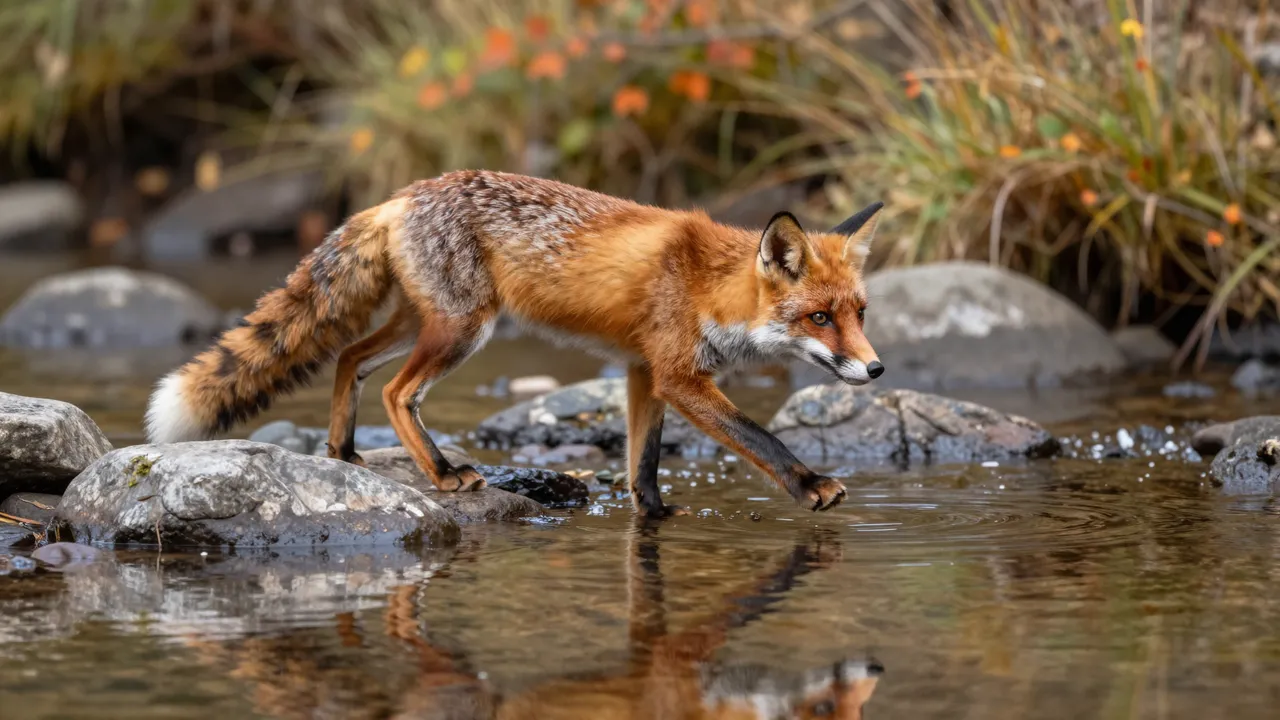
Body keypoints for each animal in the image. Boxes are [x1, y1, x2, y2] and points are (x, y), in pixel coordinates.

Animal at [144, 170, 885, 515]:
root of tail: (401, 195)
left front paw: (651, 514)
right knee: (395, 391)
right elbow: (759, 436)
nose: (877, 370)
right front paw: (810, 485)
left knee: (350, 360)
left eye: (860, 312)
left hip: (421, 323)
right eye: (820, 318)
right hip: (462, 331)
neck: (709, 285)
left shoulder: (642, 372)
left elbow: (642, 462)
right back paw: (442, 473)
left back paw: (344, 453)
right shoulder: (677, 374)